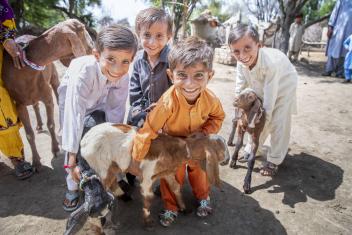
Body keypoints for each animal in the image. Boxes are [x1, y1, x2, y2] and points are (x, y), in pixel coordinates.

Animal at [2, 19, 93, 169]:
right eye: (82, 28)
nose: (92, 46)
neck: (26, 69)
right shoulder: (18, 104)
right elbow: (28, 134)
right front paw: (36, 162)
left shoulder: (47, 97)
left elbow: (50, 123)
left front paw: (55, 149)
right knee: (35, 105)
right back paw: (39, 125)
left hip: (54, 76)